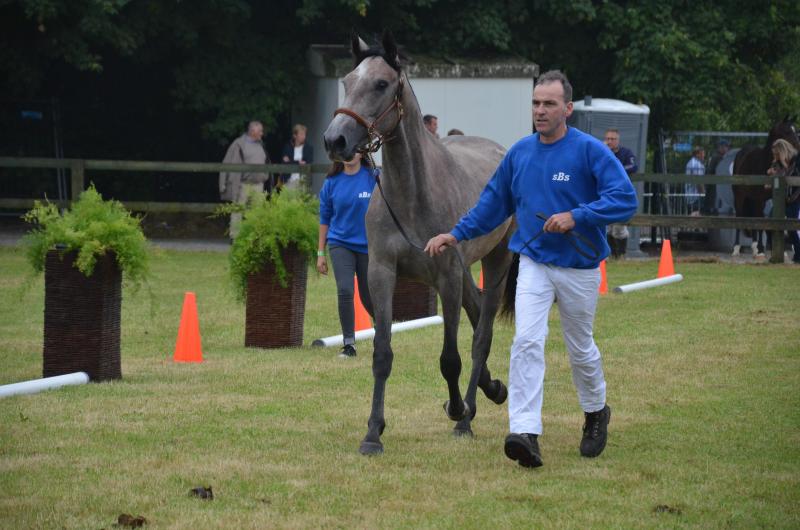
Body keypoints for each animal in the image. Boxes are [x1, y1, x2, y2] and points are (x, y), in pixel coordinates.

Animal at [324, 32, 516, 454]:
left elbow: (450, 358)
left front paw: (456, 409)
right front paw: (373, 433)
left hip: (496, 259)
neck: (412, 194)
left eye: (381, 84)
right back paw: (492, 387)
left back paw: (469, 415)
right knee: (476, 314)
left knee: (481, 336)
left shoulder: (446, 277)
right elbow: (382, 353)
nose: (335, 139)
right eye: (347, 81)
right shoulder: (382, 273)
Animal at [732, 116, 800, 256]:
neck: (765, 162)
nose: (798, 146)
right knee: (740, 216)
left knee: (754, 217)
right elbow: (761, 218)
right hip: (740, 196)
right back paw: (737, 248)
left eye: (796, 129)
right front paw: (761, 248)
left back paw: (754, 246)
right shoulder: (759, 197)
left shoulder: (773, 197)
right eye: (787, 131)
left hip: (753, 198)